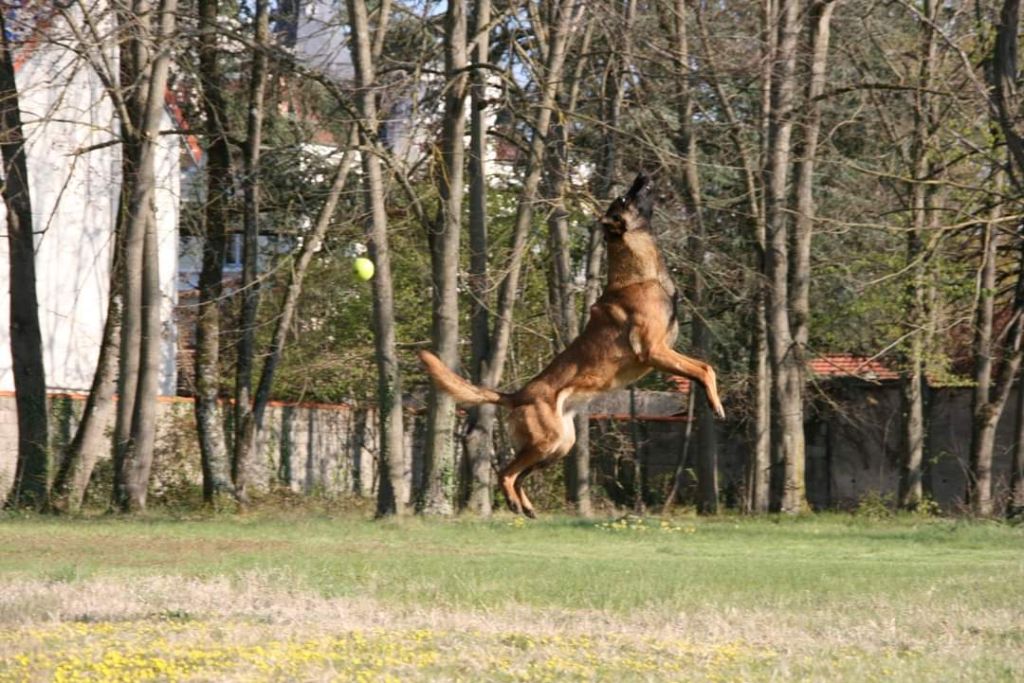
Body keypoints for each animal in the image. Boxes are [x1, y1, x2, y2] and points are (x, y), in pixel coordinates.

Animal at [419, 172, 724, 518]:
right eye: (624, 199)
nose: (642, 176)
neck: (641, 275)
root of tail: (517, 395)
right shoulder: (654, 351)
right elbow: (703, 369)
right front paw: (715, 404)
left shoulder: (664, 352)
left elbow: (705, 366)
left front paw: (714, 400)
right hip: (545, 441)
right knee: (506, 473)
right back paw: (513, 503)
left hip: (559, 446)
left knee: (520, 475)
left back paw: (526, 506)